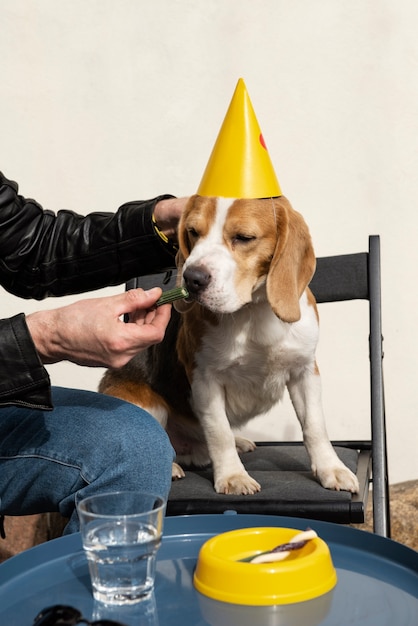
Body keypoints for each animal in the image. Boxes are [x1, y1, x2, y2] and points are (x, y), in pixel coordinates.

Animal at [100, 193, 360, 494]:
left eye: (244, 237)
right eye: (193, 232)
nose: (192, 278)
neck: (252, 310)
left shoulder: (305, 371)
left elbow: (315, 426)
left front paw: (331, 468)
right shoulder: (205, 378)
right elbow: (219, 431)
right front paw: (233, 477)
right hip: (148, 404)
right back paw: (173, 465)